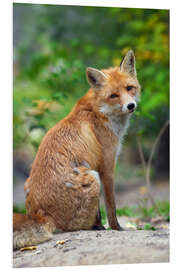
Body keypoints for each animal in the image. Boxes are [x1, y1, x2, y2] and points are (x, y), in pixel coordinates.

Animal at [13, 50, 141, 249]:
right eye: (113, 95)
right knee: (75, 226)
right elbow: (111, 206)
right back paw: (92, 227)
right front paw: (117, 228)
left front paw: (103, 225)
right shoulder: (106, 166)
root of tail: (40, 215)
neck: (99, 111)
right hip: (93, 178)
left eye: (129, 88)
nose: (131, 106)